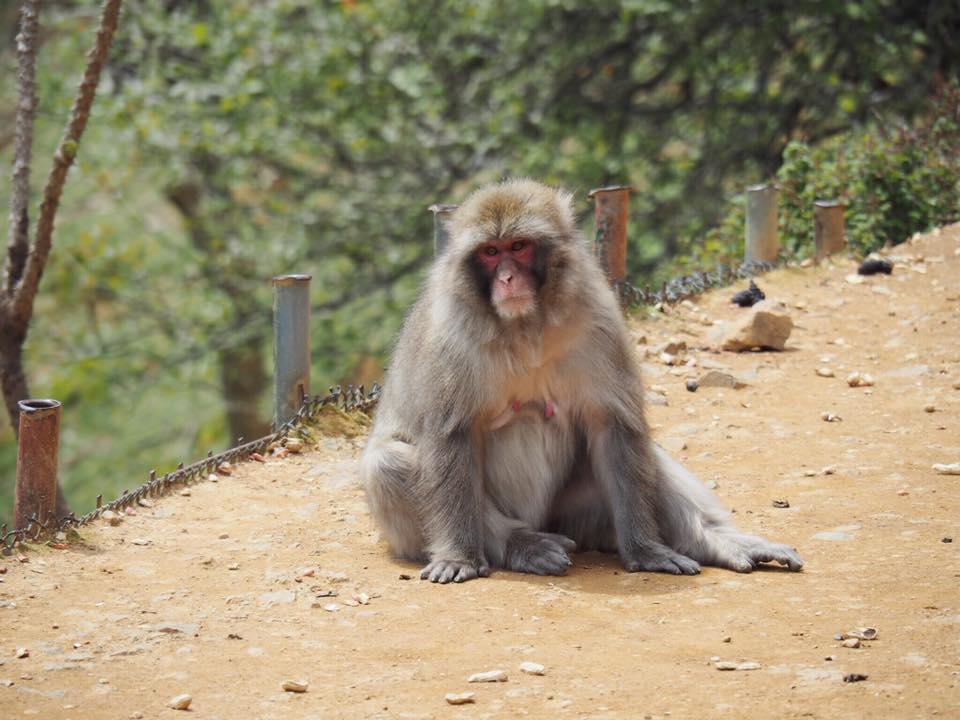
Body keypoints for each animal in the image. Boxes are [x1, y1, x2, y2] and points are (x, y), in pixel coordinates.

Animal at [360, 180, 804, 584]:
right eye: (490, 252)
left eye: (518, 246)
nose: (507, 279)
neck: (524, 328)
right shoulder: (450, 339)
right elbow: (452, 435)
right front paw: (459, 556)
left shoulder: (599, 319)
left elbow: (614, 426)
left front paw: (646, 550)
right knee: (387, 463)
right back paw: (523, 546)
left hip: (578, 514)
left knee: (641, 453)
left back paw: (710, 540)